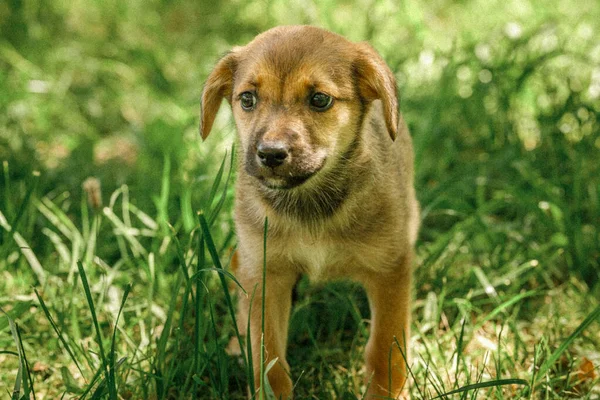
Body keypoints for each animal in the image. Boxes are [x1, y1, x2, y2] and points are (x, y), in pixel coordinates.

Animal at [200, 25, 418, 400]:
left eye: (319, 100)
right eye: (247, 99)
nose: (270, 154)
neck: (309, 206)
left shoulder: (390, 269)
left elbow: (384, 351)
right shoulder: (265, 275)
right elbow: (268, 360)